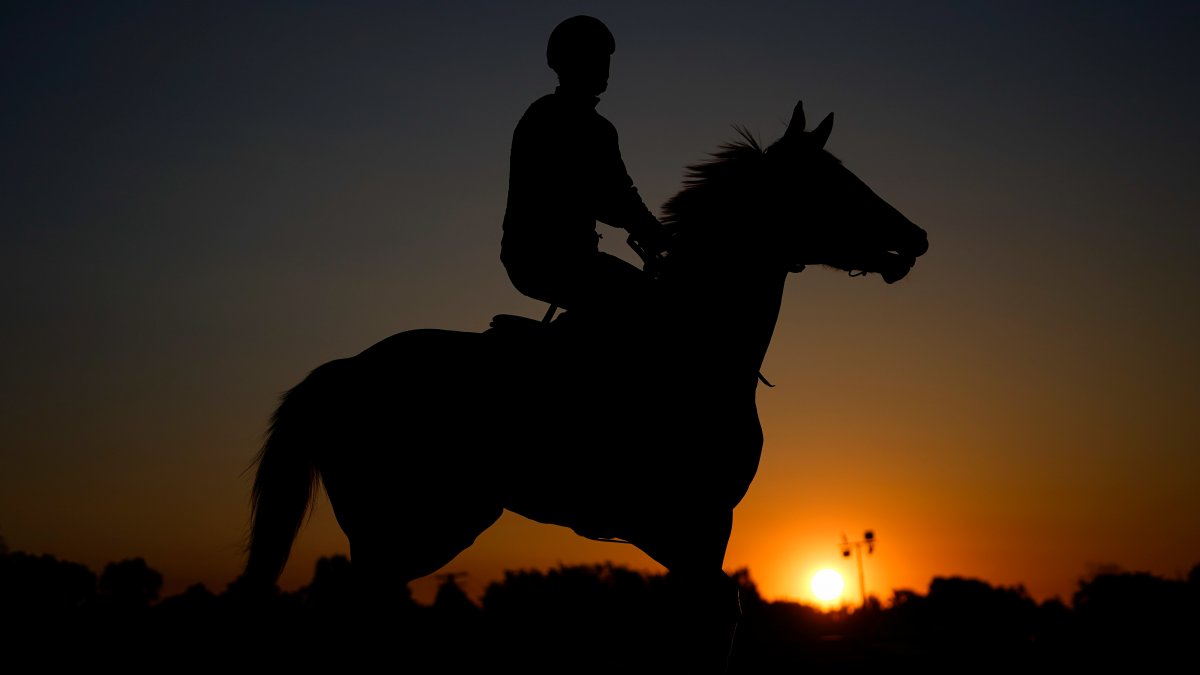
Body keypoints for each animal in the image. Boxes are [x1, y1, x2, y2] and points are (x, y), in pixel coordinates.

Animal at [241, 99, 928, 672]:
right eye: (831, 181)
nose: (915, 237)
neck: (696, 341)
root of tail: (341, 371)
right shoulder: (693, 522)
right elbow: (709, 622)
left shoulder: (691, 530)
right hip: (402, 528)